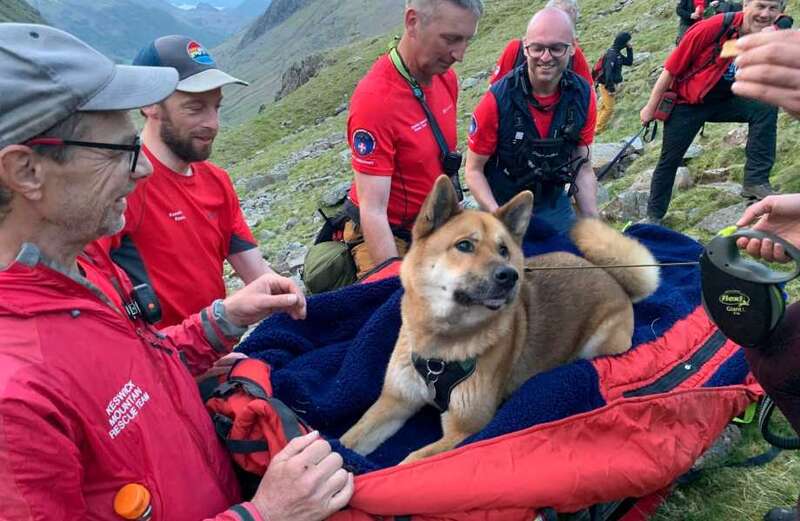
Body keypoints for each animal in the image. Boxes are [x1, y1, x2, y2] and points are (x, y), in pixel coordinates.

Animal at [340, 176, 660, 464]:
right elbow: (349, 439)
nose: (510, 275)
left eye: (504, 250)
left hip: (600, 344)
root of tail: (611, 277)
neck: (440, 348)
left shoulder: (464, 429)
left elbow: (411, 461)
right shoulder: (394, 402)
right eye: (464, 246)